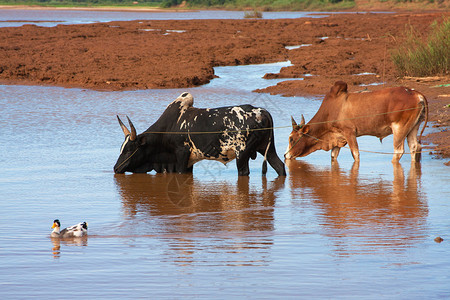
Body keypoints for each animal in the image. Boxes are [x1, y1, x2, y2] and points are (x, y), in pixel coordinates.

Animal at [114, 91, 286, 176]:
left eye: (129, 149)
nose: (116, 168)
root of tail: (262, 112)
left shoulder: (181, 156)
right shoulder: (188, 162)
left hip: (242, 154)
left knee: (244, 172)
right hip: (267, 148)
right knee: (280, 167)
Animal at [284, 81, 428, 163]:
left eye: (291, 138)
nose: (285, 155)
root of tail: (416, 93)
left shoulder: (350, 133)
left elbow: (356, 154)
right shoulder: (337, 139)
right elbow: (333, 157)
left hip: (400, 129)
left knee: (398, 151)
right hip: (413, 128)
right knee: (415, 147)